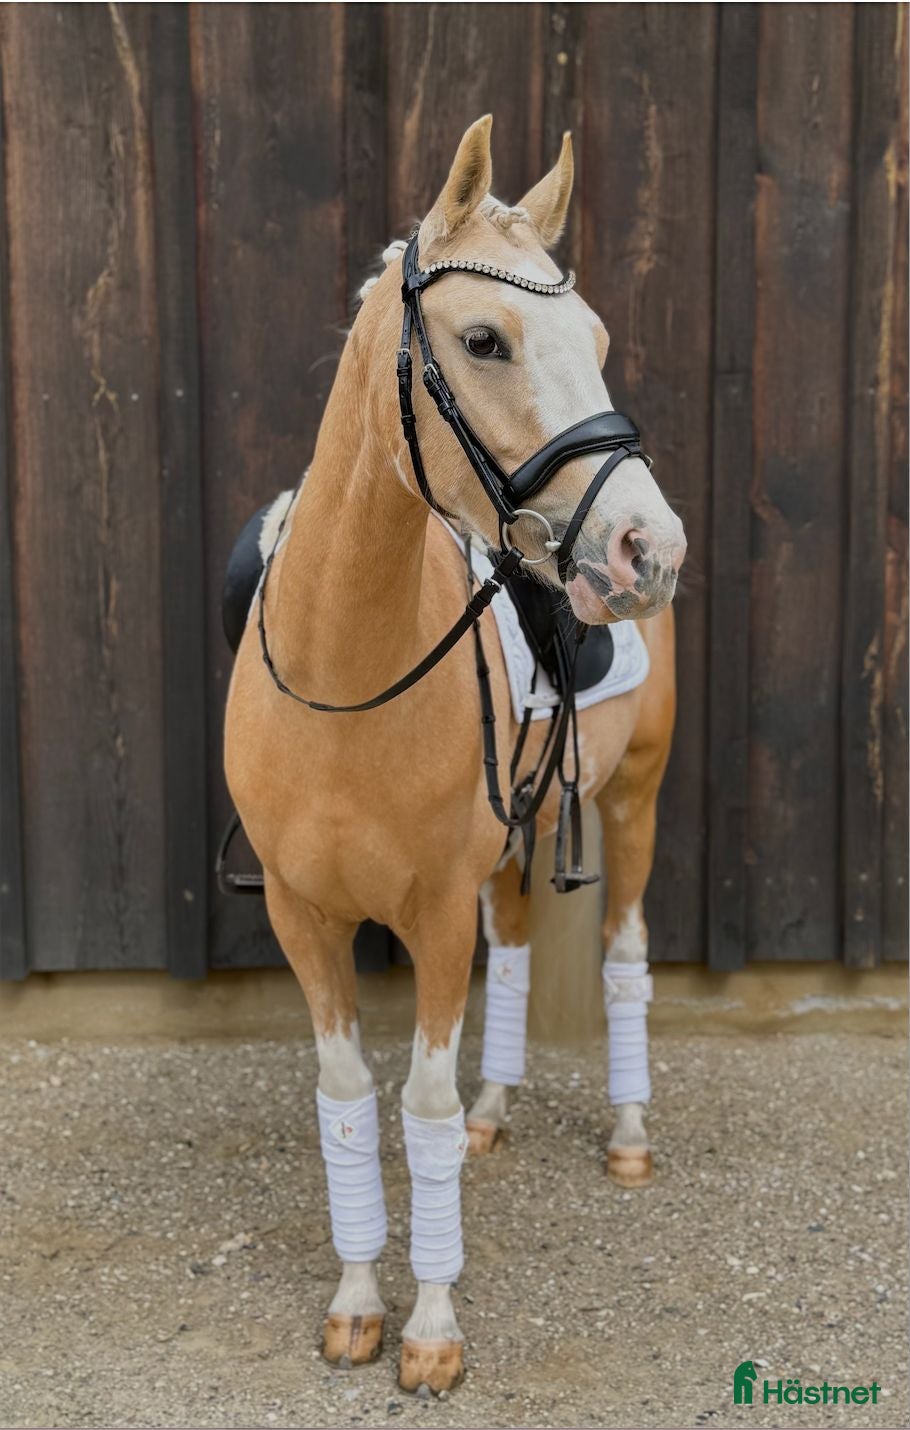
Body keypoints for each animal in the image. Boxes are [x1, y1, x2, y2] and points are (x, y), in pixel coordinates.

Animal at [224, 115, 686, 1394]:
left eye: (598, 341)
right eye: (483, 339)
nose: (648, 547)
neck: (344, 673)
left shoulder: (430, 915)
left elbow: (416, 1108)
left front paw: (430, 1324)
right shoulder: (302, 915)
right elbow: (345, 1099)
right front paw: (355, 1299)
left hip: (633, 802)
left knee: (624, 952)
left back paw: (626, 1133)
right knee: (521, 946)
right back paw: (498, 1106)